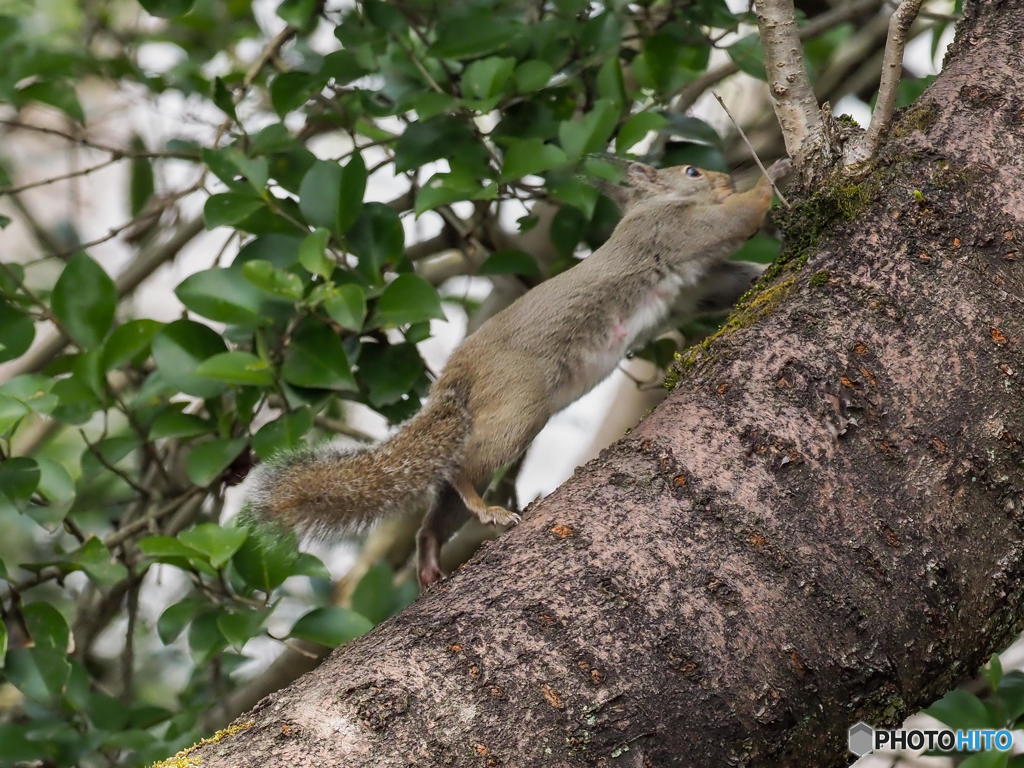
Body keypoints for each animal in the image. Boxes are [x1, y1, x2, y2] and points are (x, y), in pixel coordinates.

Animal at [245, 156, 790, 589]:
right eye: (691, 171)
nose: (724, 177)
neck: (652, 206)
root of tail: (455, 376)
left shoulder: (696, 288)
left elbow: (733, 283)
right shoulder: (670, 232)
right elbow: (734, 220)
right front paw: (774, 174)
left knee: (440, 507)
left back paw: (429, 558)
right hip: (519, 405)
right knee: (464, 470)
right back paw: (485, 510)